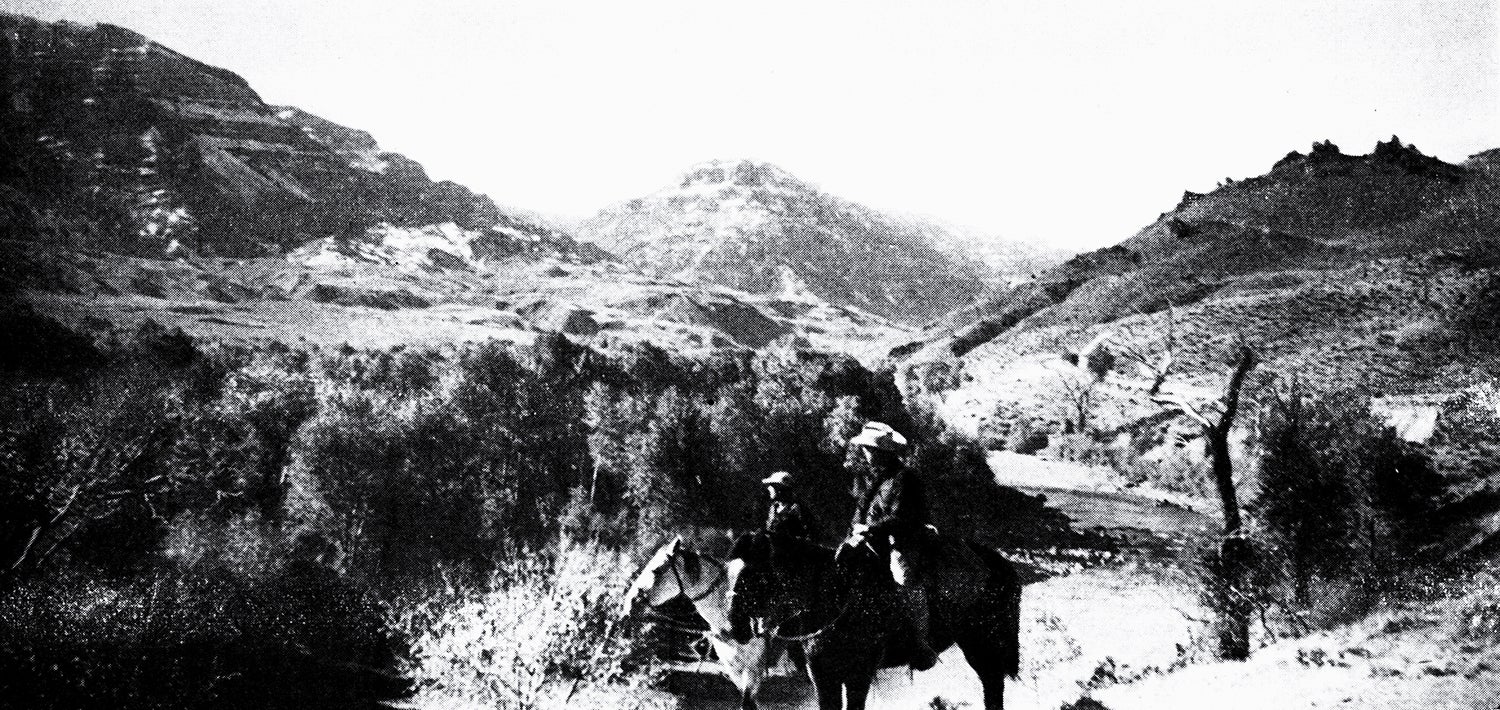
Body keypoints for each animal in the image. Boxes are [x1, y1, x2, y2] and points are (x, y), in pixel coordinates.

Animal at [723, 531, 1020, 708]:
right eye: (730, 570)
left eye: (751, 573)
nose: (733, 625)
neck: (836, 596)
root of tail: (999, 562)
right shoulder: (822, 674)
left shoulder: (860, 673)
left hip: (982, 645)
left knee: (993, 683)